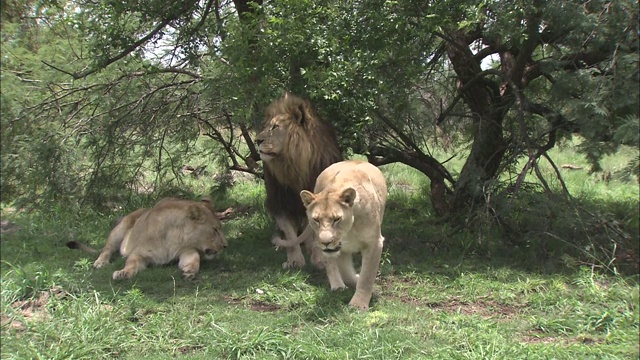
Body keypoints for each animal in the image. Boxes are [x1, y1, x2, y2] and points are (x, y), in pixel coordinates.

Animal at [67, 198, 228, 280]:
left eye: (221, 228)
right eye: (215, 230)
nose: (225, 246)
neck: (176, 236)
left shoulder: (186, 250)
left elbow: (194, 258)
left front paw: (189, 270)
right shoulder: (139, 253)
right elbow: (131, 263)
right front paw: (123, 273)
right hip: (120, 228)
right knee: (107, 248)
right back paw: (100, 262)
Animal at [256, 92, 344, 268]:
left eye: (275, 127)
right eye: (266, 127)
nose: (257, 140)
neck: (294, 166)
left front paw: (320, 259)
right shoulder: (281, 201)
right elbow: (289, 233)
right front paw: (294, 260)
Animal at [298, 160, 384, 310]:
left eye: (337, 219)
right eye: (316, 220)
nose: (326, 242)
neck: (349, 230)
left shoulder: (374, 243)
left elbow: (367, 276)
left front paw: (358, 304)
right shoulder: (340, 249)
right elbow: (347, 272)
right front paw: (350, 287)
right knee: (331, 264)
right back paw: (337, 287)